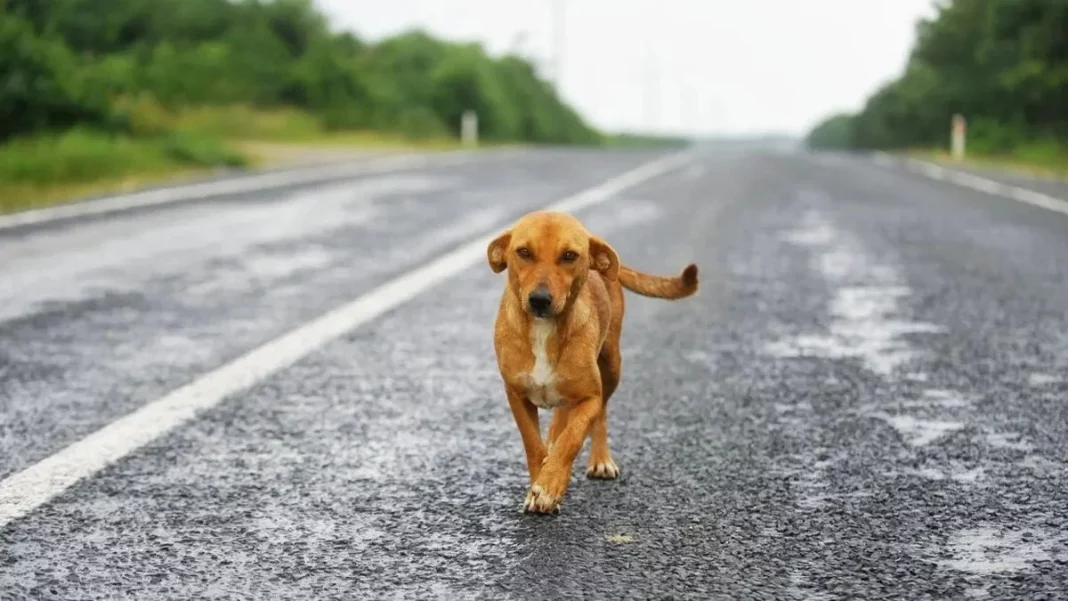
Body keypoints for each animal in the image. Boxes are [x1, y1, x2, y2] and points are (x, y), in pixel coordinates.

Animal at [487, 210, 700, 512]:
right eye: (524, 252)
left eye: (569, 255)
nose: (539, 300)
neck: (544, 330)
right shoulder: (517, 395)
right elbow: (533, 444)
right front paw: (539, 481)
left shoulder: (590, 397)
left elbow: (573, 439)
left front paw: (550, 485)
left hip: (611, 367)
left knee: (599, 417)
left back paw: (600, 460)